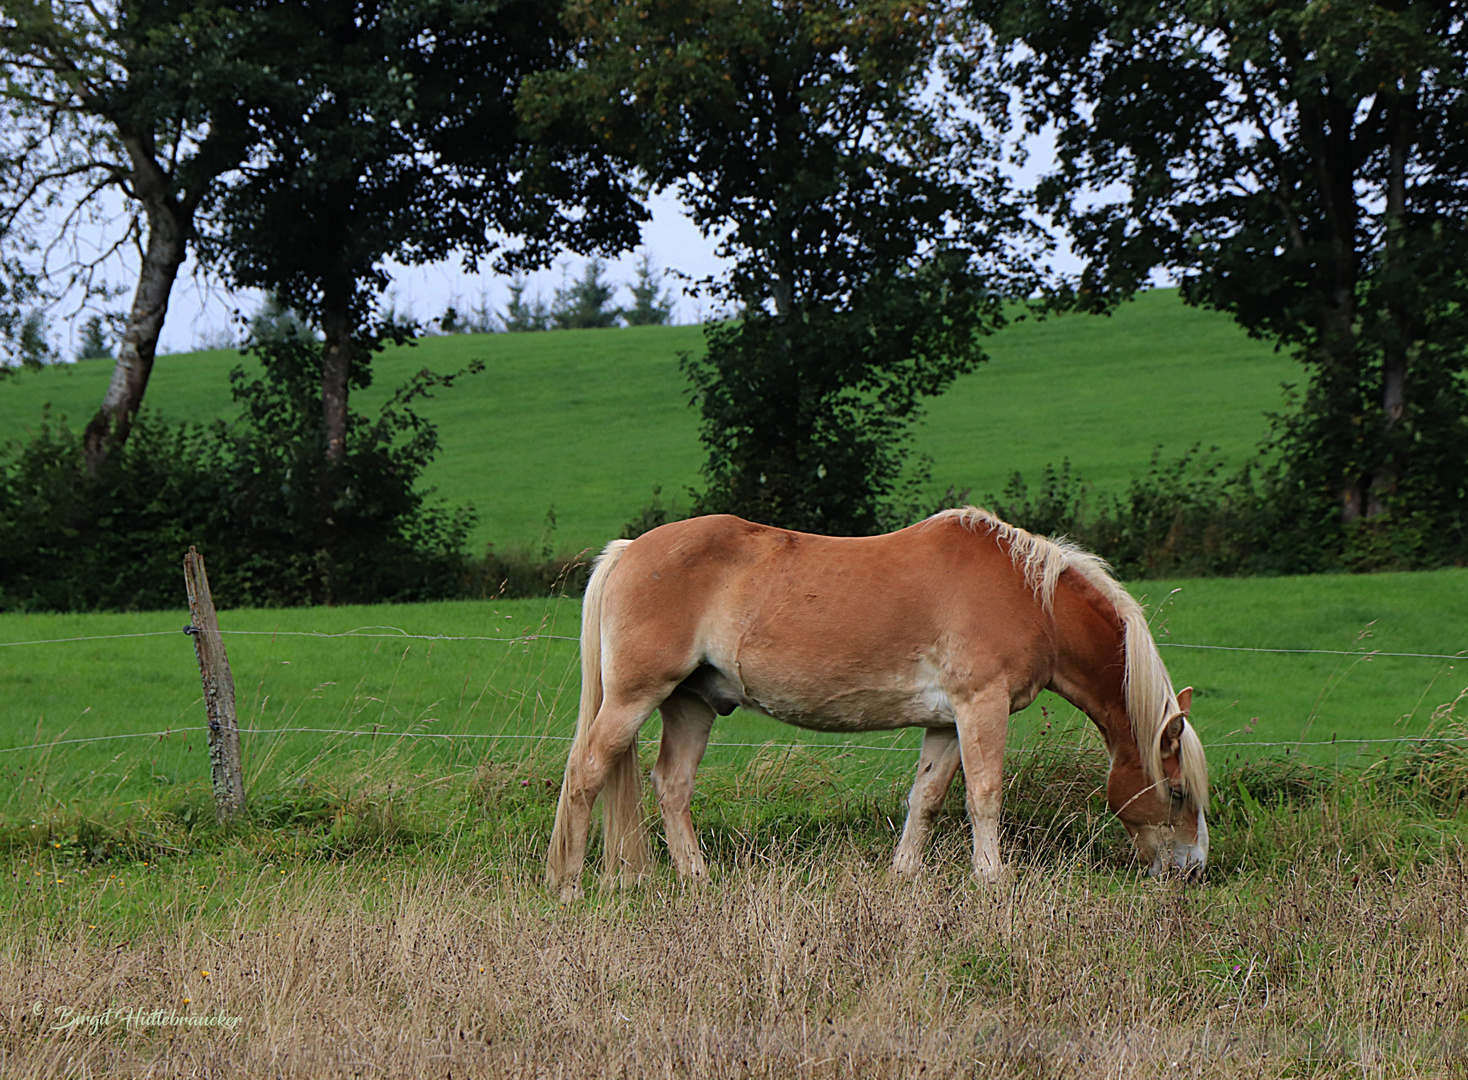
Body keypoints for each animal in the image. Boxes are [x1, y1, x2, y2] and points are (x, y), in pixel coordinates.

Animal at [546, 510, 1209, 898]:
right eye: (1177, 793)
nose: (1194, 870)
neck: (1031, 599)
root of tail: (629, 550)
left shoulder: (946, 721)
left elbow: (928, 796)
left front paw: (904, 874)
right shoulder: (981, 705)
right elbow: (984, 794)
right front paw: (992, 879)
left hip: (693, 703)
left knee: (672, 784)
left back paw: (698, 879)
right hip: (635, 696)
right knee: (585, 772)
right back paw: (569, 885)